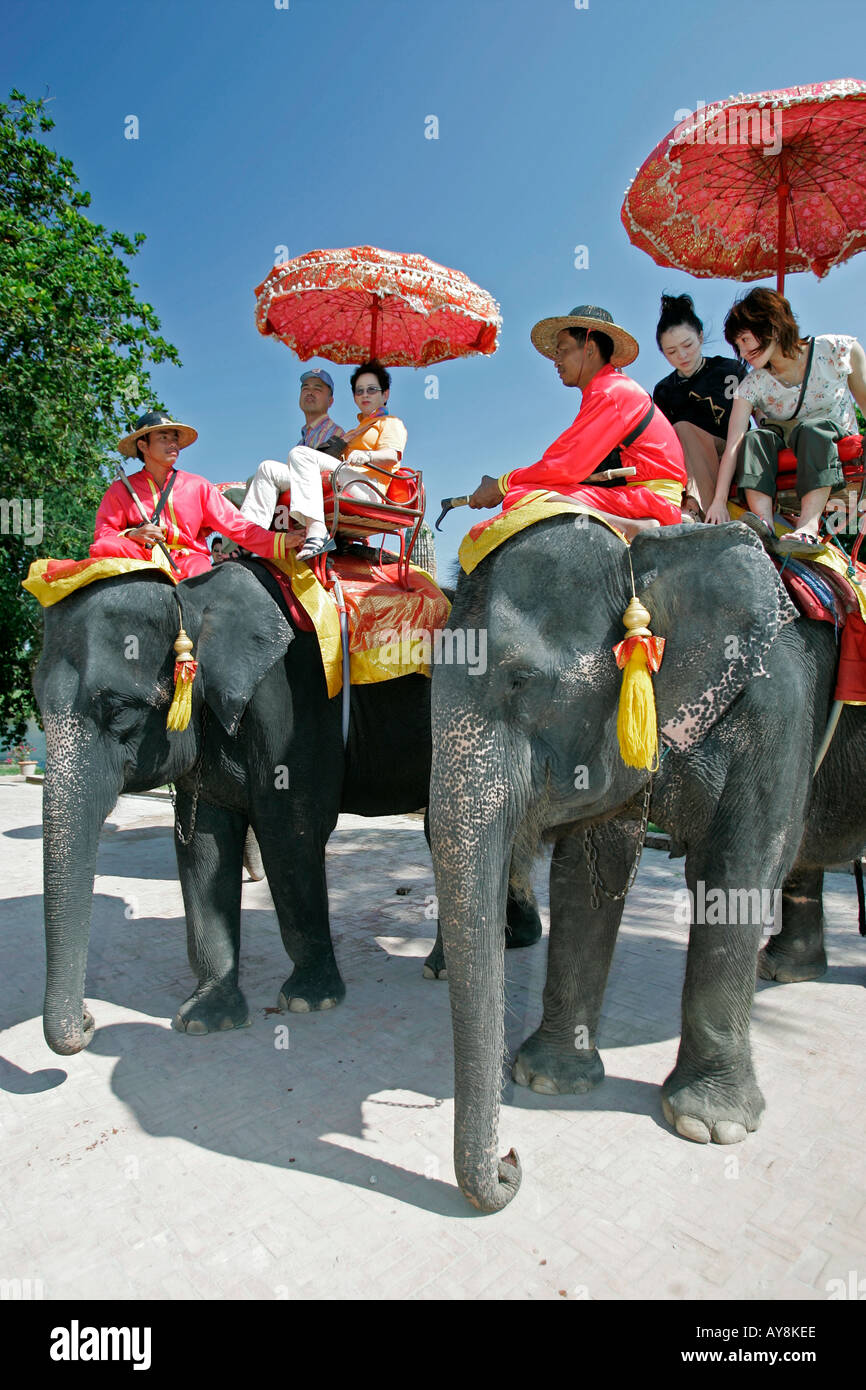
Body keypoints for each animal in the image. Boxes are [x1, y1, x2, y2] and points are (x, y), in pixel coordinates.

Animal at [34, 557, 540, 1056]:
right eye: (37, 706)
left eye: (120, 712)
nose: (87, 1022)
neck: (194, 598)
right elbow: (203, 846)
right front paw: (204, 1020)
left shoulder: (292, 704)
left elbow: (291, 829)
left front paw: (308, 1002)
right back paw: (496, 947)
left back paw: (449, 965)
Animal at [429, 515, 866, 1211]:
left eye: (521, 681)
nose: (511, 1162)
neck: (652, 545)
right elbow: (586, 875)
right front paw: (550, 1079)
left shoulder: (779, 703)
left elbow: (739, 871)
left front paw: (709, 1126)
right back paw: (787, 972)